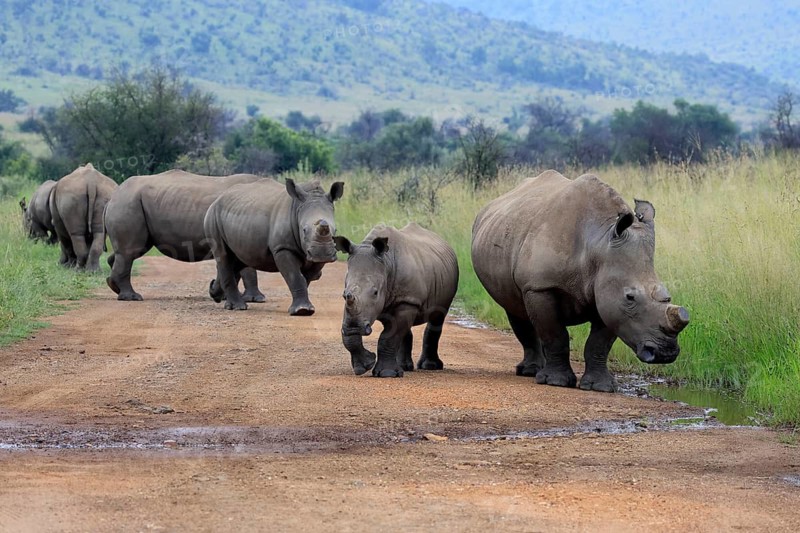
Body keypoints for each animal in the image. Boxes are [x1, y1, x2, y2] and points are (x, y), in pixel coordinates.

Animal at [105, 170, 265, 301]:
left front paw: (226, 296)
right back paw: (132, 297)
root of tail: (112, 198)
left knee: (129, 252)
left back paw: (115, 288)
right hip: (127, 203)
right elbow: (247, 268)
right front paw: (256, 299)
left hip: (130, 203)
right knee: (130, 252)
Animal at [203, 178, 344, 315]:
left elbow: (305, 279)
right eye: (304, 230)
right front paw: (302, 311)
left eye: (335, 230)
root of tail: (217, 199)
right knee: (224, 256)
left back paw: (216, 294)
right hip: (213, 216)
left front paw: (304, 308)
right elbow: (295, 277)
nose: (322, 254)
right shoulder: (282, 248)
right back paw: (237, 307)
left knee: (238, 260)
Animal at [334, 223, 459, 377]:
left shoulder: (407, 301)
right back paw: (404, 366)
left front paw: (387, 374)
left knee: (437, 316)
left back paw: (430, 367)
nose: (354, 328)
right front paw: (364, 366)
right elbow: (351, 337)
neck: (386, 263)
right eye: (344, 294)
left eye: (375, 292)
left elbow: (389, 337)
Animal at [471, 170, 690, 392]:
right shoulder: (540, 287)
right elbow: (556, 335)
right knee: (515, 309)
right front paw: (556, 382)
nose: (665, 353)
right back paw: (530, 372)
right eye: (630, 297)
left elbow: (599, 343)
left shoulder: (608, 296)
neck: (598, 243)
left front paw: (600, 387)